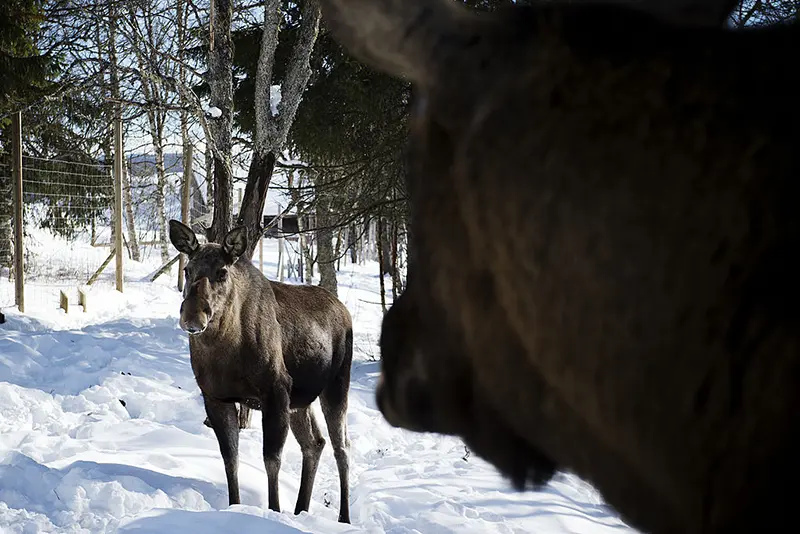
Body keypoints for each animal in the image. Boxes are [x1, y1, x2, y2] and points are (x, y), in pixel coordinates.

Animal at [168, 219, 353, 523]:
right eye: (187, 270)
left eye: (222, 272)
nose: (193, 317)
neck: (224, 351)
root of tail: (344, 309)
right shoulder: (215, 397)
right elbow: (230, 457)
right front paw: (234, 506)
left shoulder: (275, 391)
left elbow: (271, 459)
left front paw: (274, 510)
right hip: (300, 401)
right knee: (315, 442)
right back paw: (301, 508)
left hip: (337, 384)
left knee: (342, 448)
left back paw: (343, 518)